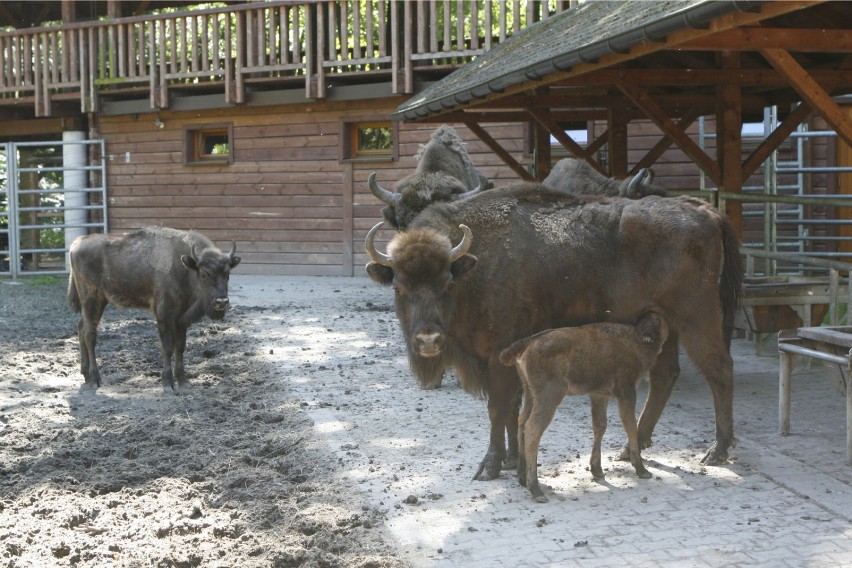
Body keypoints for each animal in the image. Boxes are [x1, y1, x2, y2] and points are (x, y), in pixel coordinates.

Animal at [65, 226, 240, 390]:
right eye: (204, 274)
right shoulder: (164, 315)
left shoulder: (181, 320)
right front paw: (168, 383)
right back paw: (95, 379)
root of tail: (78, 242)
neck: (185, 268)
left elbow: (180, 347)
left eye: (227, 274)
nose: (221, 302)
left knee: (81, 328)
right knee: (90, 334)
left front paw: (183, 381)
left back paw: (85, 374)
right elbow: (167, 347)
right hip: (91, 299)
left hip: (99, 302)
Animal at [362, 186, 744, 480]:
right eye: (398, 286)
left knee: (720, 370)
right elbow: (513, 410)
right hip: (664, 323)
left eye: (446, 283)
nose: (428, 340)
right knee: (666, 376)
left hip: (696, 317)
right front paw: (512, 459)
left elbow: (499, 408)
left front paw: (490, 466)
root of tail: (703, 210)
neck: (472, 265)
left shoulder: (498, 356)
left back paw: (717, 451)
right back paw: (629, 448)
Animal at [500, 312, 672, 504]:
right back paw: (535, 489)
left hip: (530, 393)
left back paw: (522, 477)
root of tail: (528, 342)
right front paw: (641, 469)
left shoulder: (599, 394)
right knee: (532, 429)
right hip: (549, 397)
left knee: (522, 422)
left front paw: (597, 470)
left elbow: (600, 426)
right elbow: (630, 427)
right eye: (658, 321)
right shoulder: (626, 393)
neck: (634, 339)